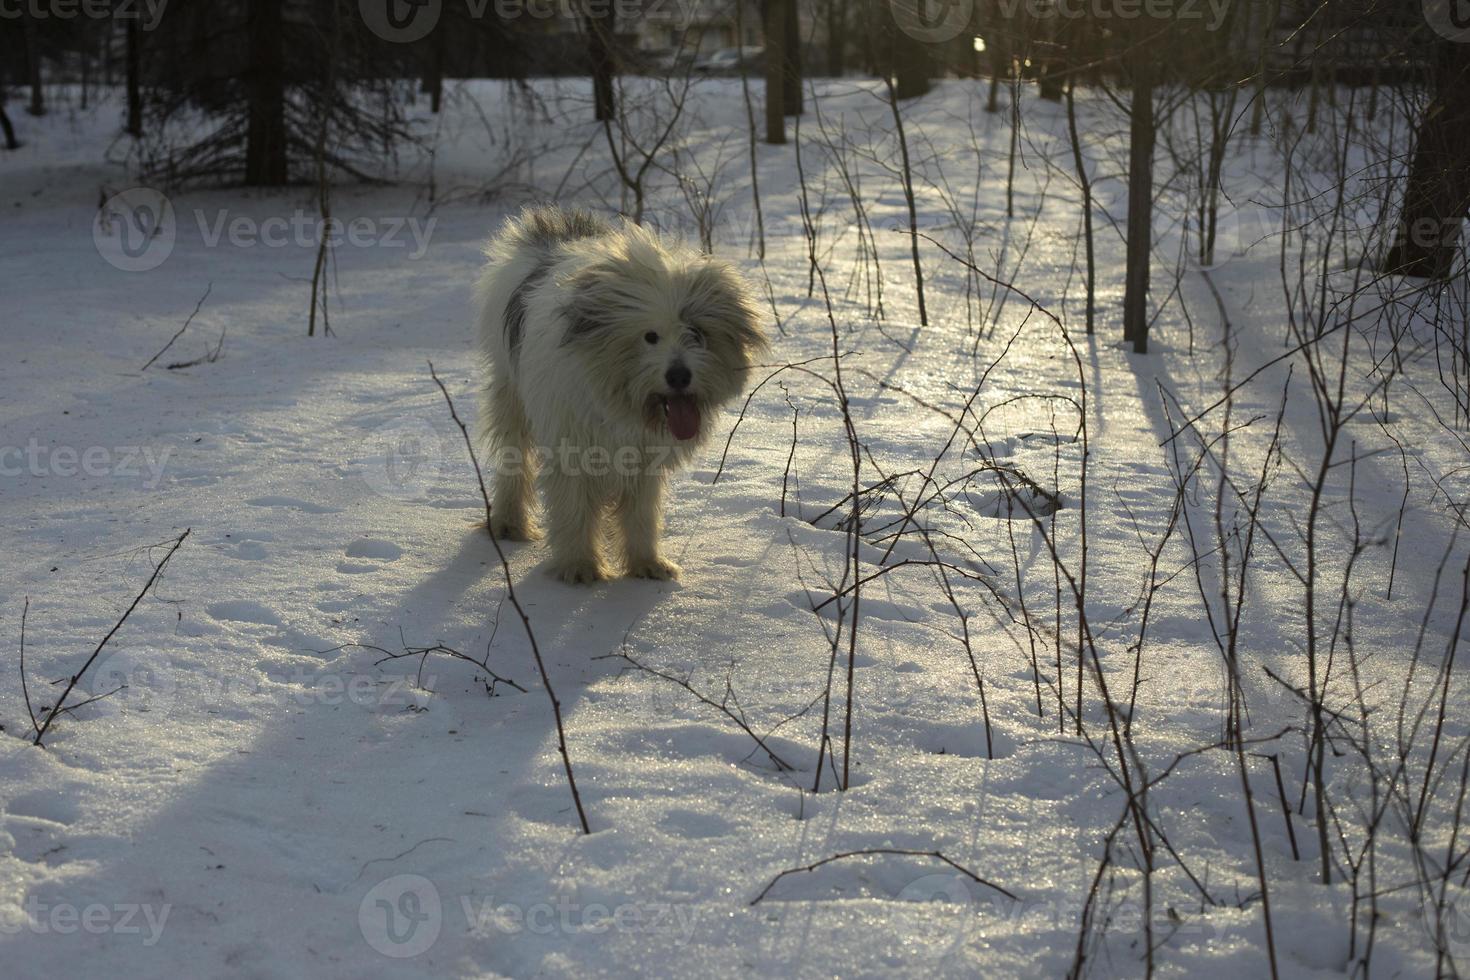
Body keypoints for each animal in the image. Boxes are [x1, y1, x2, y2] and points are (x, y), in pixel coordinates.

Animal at [476, 205, 770, 581]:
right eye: (650, 336)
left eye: (696, 333)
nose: (679, 375)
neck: (621, 402)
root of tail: (552, 234)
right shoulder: (572, 441)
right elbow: (574, 505)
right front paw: (580, 566)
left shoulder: (644, 456)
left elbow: (641, 511)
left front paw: (647, 562)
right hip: (511, 392)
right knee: (515, 457)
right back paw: (509, 521)